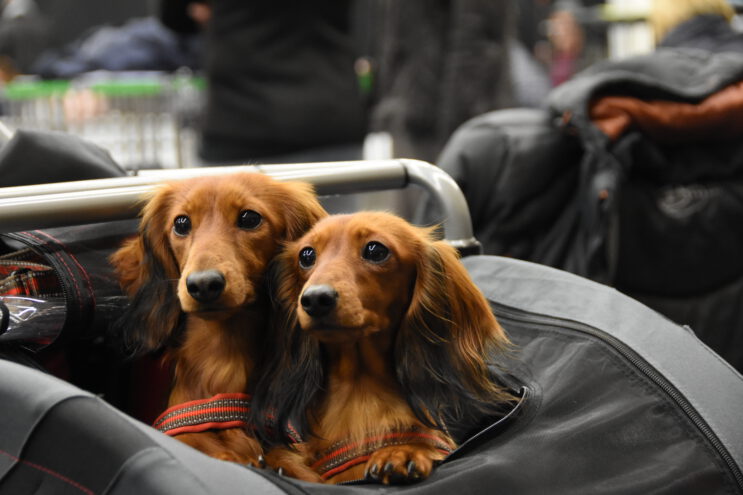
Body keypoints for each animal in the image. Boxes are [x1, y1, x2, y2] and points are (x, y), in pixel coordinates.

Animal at [252, 211, 513, 483]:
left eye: (376, 250)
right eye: (306, 255)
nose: (315, 299)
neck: (359, 395)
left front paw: (402, 452)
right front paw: (284, 464)